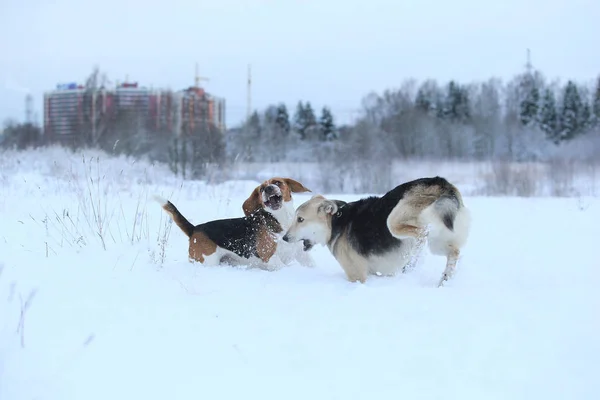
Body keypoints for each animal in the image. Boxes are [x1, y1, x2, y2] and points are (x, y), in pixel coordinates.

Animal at [157, 177, 312, 268]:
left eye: (277, 182)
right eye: (261, 189)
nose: (267, 189)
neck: (282, 219)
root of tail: (195, 229)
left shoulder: (301, 255)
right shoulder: (270, 257)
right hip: (207, 261)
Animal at [284, 177, 472, 286]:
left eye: (300, 219)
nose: (284, 238)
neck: (335, 222)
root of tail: (441, 182)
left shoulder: (357, 276)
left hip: (395, 220)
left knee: (422, 232)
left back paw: (412, 260)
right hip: (439, 240)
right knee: (453, 251)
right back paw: (444, 278)